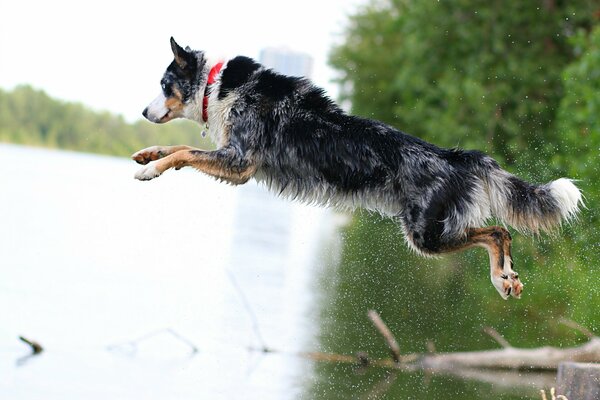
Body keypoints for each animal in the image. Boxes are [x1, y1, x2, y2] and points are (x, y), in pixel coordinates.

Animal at [132, 38, 580, 300]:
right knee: (499, 232)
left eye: (164, 84)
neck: (219, 86)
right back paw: (506, 278)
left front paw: (151, 171)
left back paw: (501, 277)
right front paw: (148, 154)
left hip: (426, 235)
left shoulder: (240, 162)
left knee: (497, 231)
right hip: (433, 232)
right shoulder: (232, 159)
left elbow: (185, 151)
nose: (143, 112)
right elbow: (177, 147)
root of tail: (457, 156)